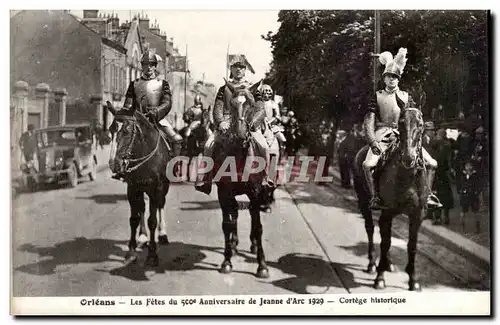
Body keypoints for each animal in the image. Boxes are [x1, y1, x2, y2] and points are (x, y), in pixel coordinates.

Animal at [106, 101, 173, 266]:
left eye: (127, 131)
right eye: (111, 129)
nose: (114, 164)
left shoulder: (157, 188)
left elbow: (152, 221)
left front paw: (152, 255)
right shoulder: (133, 187)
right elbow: (134, 219)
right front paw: (131, 251)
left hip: (163, 187)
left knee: (161, 204)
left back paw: (162, 234)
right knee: (142, 207)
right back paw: (143, 237)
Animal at [210, 79, 272, 278]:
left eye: (251, 105)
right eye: (231, 104)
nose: (240, 134)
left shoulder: (256, 192)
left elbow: (258, 226)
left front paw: (262, 266)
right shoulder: (224, 192)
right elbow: (227, 224)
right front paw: (227, 261)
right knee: (235, 214)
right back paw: (234, 245)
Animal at [354, 107, 428, 290]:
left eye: (421, 124)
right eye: (401, 123)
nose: (409, 158)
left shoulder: (417, 215)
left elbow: (412, 245)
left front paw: (413, 280)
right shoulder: (386, 213)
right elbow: (385, 243)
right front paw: (380, 278)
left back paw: (388, 263)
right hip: (363, 201)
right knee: (370, 228)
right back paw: (372, 264)